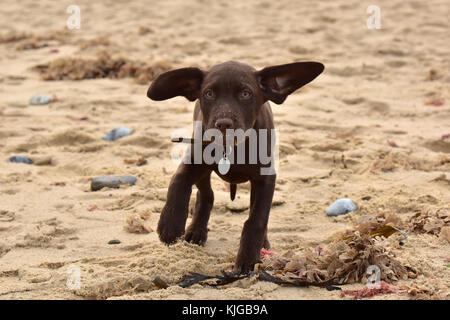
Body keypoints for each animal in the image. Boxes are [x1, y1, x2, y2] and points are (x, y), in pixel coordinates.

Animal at [148, 60, 324, 272]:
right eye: (209, 93)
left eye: (246, 94)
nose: (223, 124)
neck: (231, 149)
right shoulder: (194, 161)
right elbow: (178, 181)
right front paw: (170, 225)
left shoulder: (265, 179)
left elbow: (257, 219)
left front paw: (248, 258)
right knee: (206, 195)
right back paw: (196, 230)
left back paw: (262, 244)